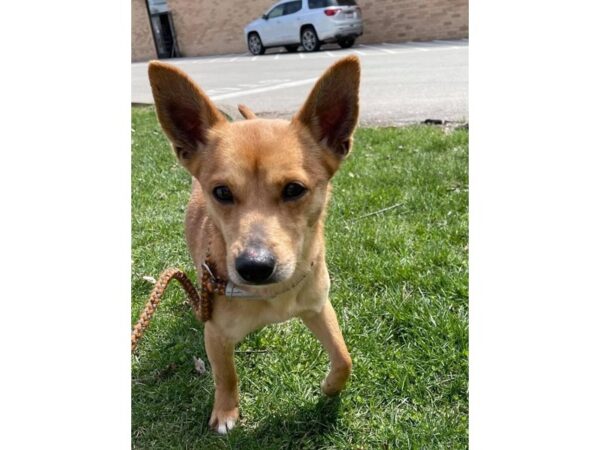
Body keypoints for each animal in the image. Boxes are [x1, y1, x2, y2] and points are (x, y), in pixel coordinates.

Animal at [148, 54, 358, 434]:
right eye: (221, 192)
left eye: (294, 189)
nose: (254, 267)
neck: (272, 296)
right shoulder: (215, 333)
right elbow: (225, 375)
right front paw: (226, 411)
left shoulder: (319, 307)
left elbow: (344, 357)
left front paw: (330, 387)